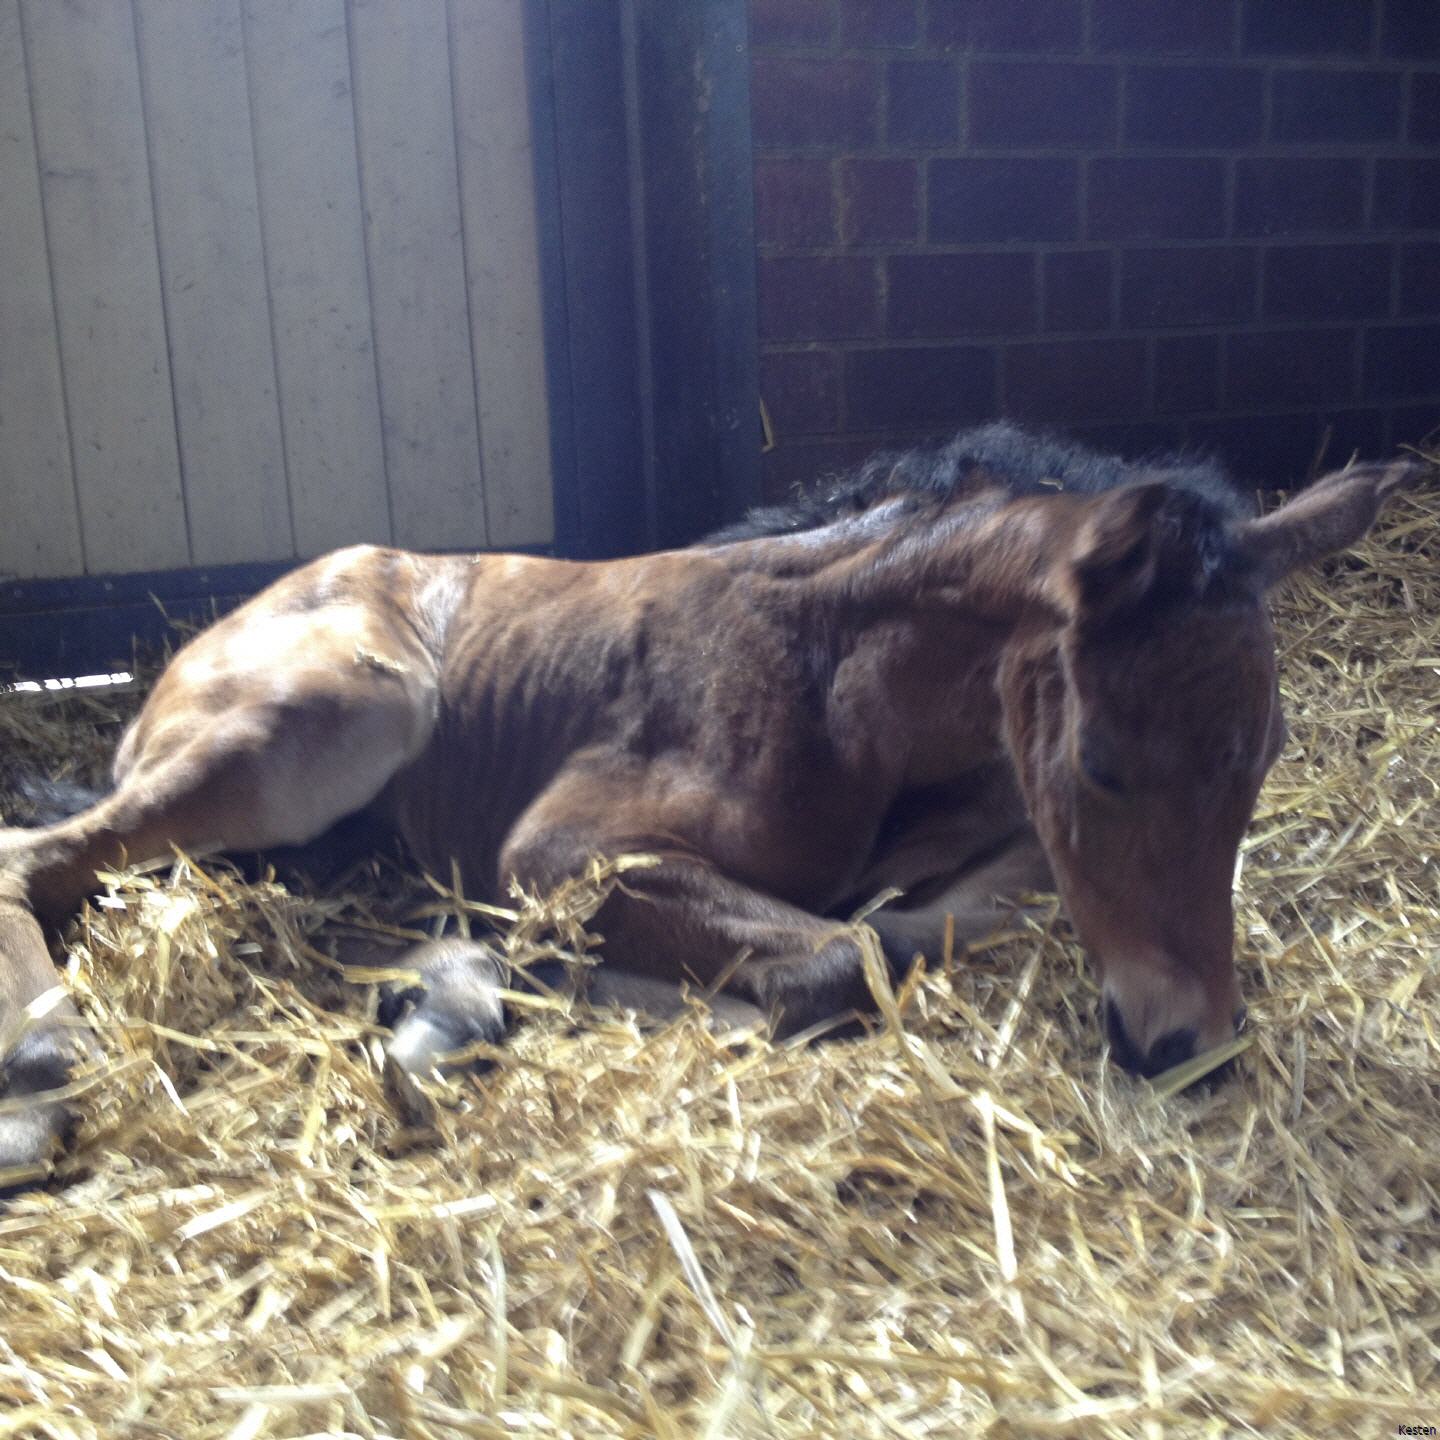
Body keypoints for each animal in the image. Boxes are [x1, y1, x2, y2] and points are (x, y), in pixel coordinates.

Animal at [0, 423, 1412, 1178]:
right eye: (1105, 764)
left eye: (1268, 757)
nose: (1188, 1043)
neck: (844, 689)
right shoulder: (558, 850)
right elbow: (838, 957)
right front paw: (494, 999)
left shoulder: (1001, 837)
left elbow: (915, 928)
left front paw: (474, 988)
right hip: (344, 712)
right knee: (37, 857)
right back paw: (36, 1080)